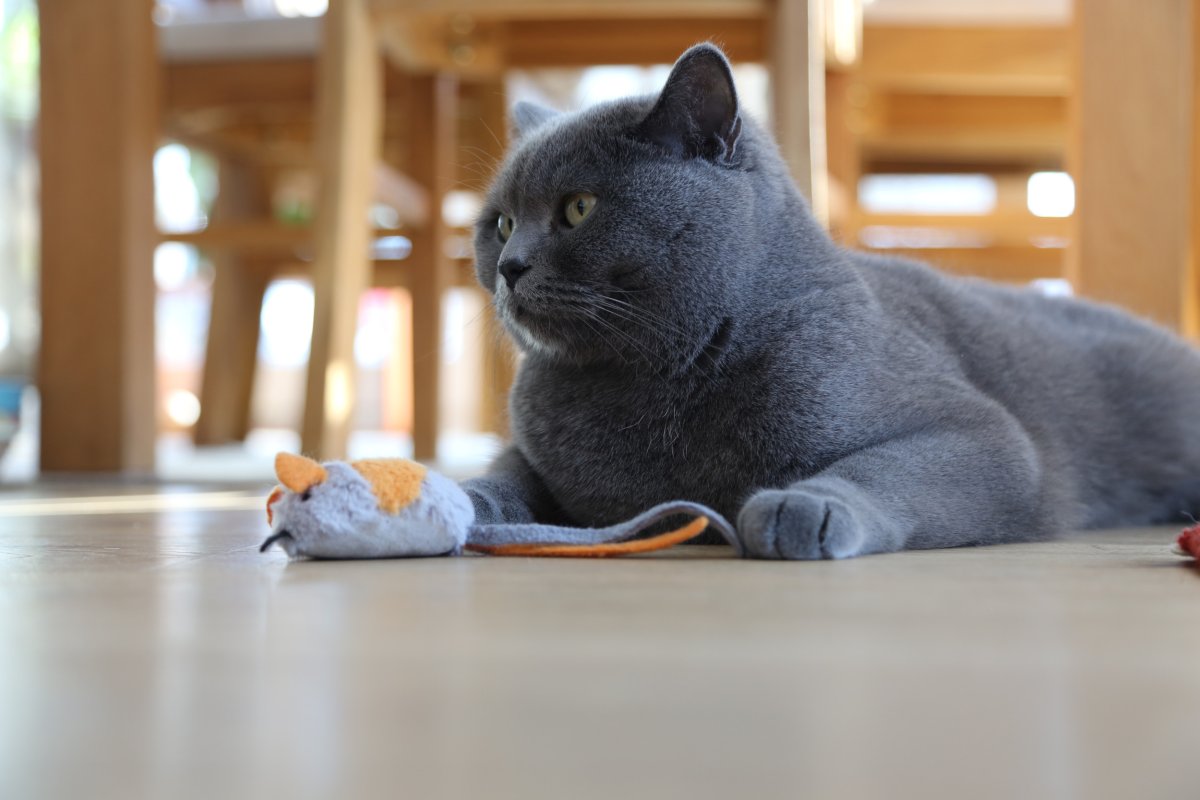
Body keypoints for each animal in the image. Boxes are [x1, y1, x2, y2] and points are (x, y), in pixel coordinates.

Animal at [460, 42, 1200, 556]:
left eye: (578, 208)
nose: (511, 266)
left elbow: (882, 463)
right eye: (500, 222)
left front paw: (804, 507)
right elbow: (508, 470)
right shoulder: (539, 453)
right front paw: (466, 498)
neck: (645, 378)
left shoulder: (987, 435)